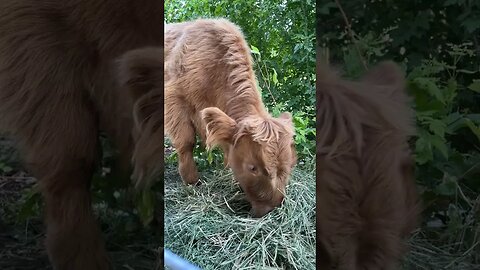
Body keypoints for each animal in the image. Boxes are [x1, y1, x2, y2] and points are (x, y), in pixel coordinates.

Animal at [161, 19, 296, 217]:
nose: (270, 208)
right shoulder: (174, 99)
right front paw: (192, 181)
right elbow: (186, 141)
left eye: (289, 165)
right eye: (252, 167)